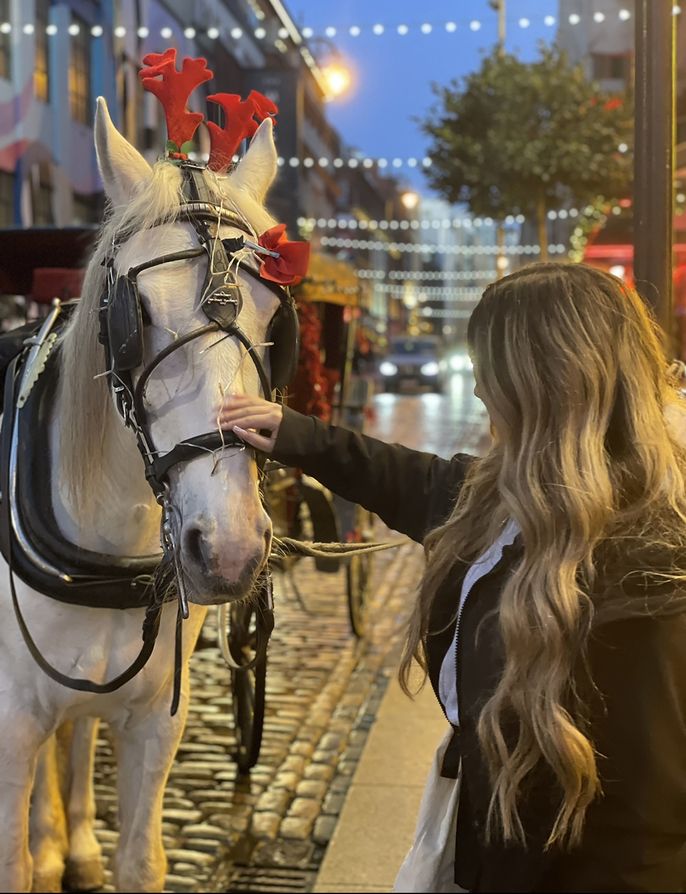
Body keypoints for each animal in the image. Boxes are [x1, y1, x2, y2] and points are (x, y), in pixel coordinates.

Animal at [0, 94, 284, 892]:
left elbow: (141, 861)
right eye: (138, 313)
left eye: (273, 312)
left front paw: (86, 848)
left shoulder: (158, 720)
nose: (228, 548)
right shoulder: (10, 724)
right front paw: (38, 852)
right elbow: (11, 864)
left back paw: (71, 843)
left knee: (76, 731)